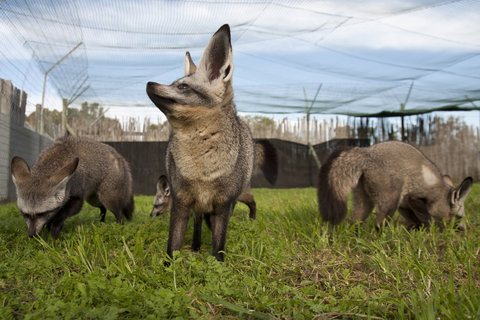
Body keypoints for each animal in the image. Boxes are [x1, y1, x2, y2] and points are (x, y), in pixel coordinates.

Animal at [144, 24, 276, 260]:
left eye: (183, 87)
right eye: (173, 83)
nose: (150, 83)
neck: (202, 169)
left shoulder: (224, 204)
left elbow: (219, 244)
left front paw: (219, 264)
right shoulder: (182, 202)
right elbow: (172, 246)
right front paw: (172, 265)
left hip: (238, 196)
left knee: (250, 204)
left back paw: (252, 220)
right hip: (200, 205)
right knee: (199, 223)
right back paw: (196, 245)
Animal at [318, 141, 472, 229]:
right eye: (459, 217)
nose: (463, 230)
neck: (440, 192)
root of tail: (366, 152)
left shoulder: (404, 205)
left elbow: (415, 220)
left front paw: (416, 230)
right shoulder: (414, 198)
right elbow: (426, 219)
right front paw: (428, 232)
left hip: (365, 202)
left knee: (354, 222)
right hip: (389, 203)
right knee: (379, 226)